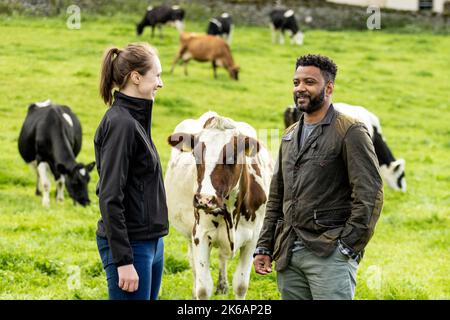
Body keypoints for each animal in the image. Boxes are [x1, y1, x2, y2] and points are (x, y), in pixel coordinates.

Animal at [164, 111, 272, 298]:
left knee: (222, 256)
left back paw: (222, 285)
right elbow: (203, 287)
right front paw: (199, 290)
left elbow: (241, 285)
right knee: (194, 265)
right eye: (196, 155)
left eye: (232, 156)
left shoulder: (253, 238)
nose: (204, 199)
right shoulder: (200, 234)